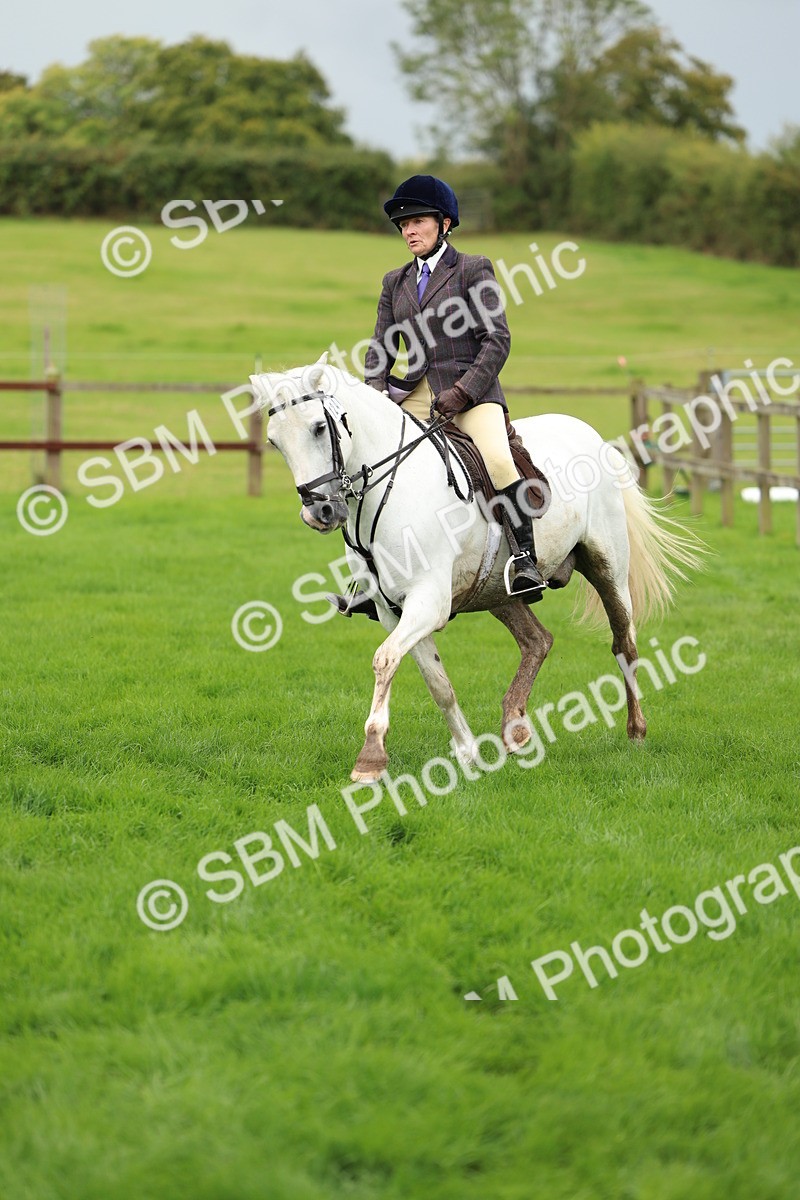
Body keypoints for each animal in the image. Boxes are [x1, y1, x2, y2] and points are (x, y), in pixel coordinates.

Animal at [250, 357, 702, 783]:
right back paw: (515, 729)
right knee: (538, 641)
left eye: (317, 429)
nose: (320, 513)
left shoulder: (427, 602)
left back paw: (636, 731)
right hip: (497, 591)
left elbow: (384, 660)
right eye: (274, 441)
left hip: (607, 568)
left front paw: (371, 758)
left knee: (624, 644)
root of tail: (593, 437)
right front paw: (467, 752)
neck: (391, 487)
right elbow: (437, 682)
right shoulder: (392, 609)